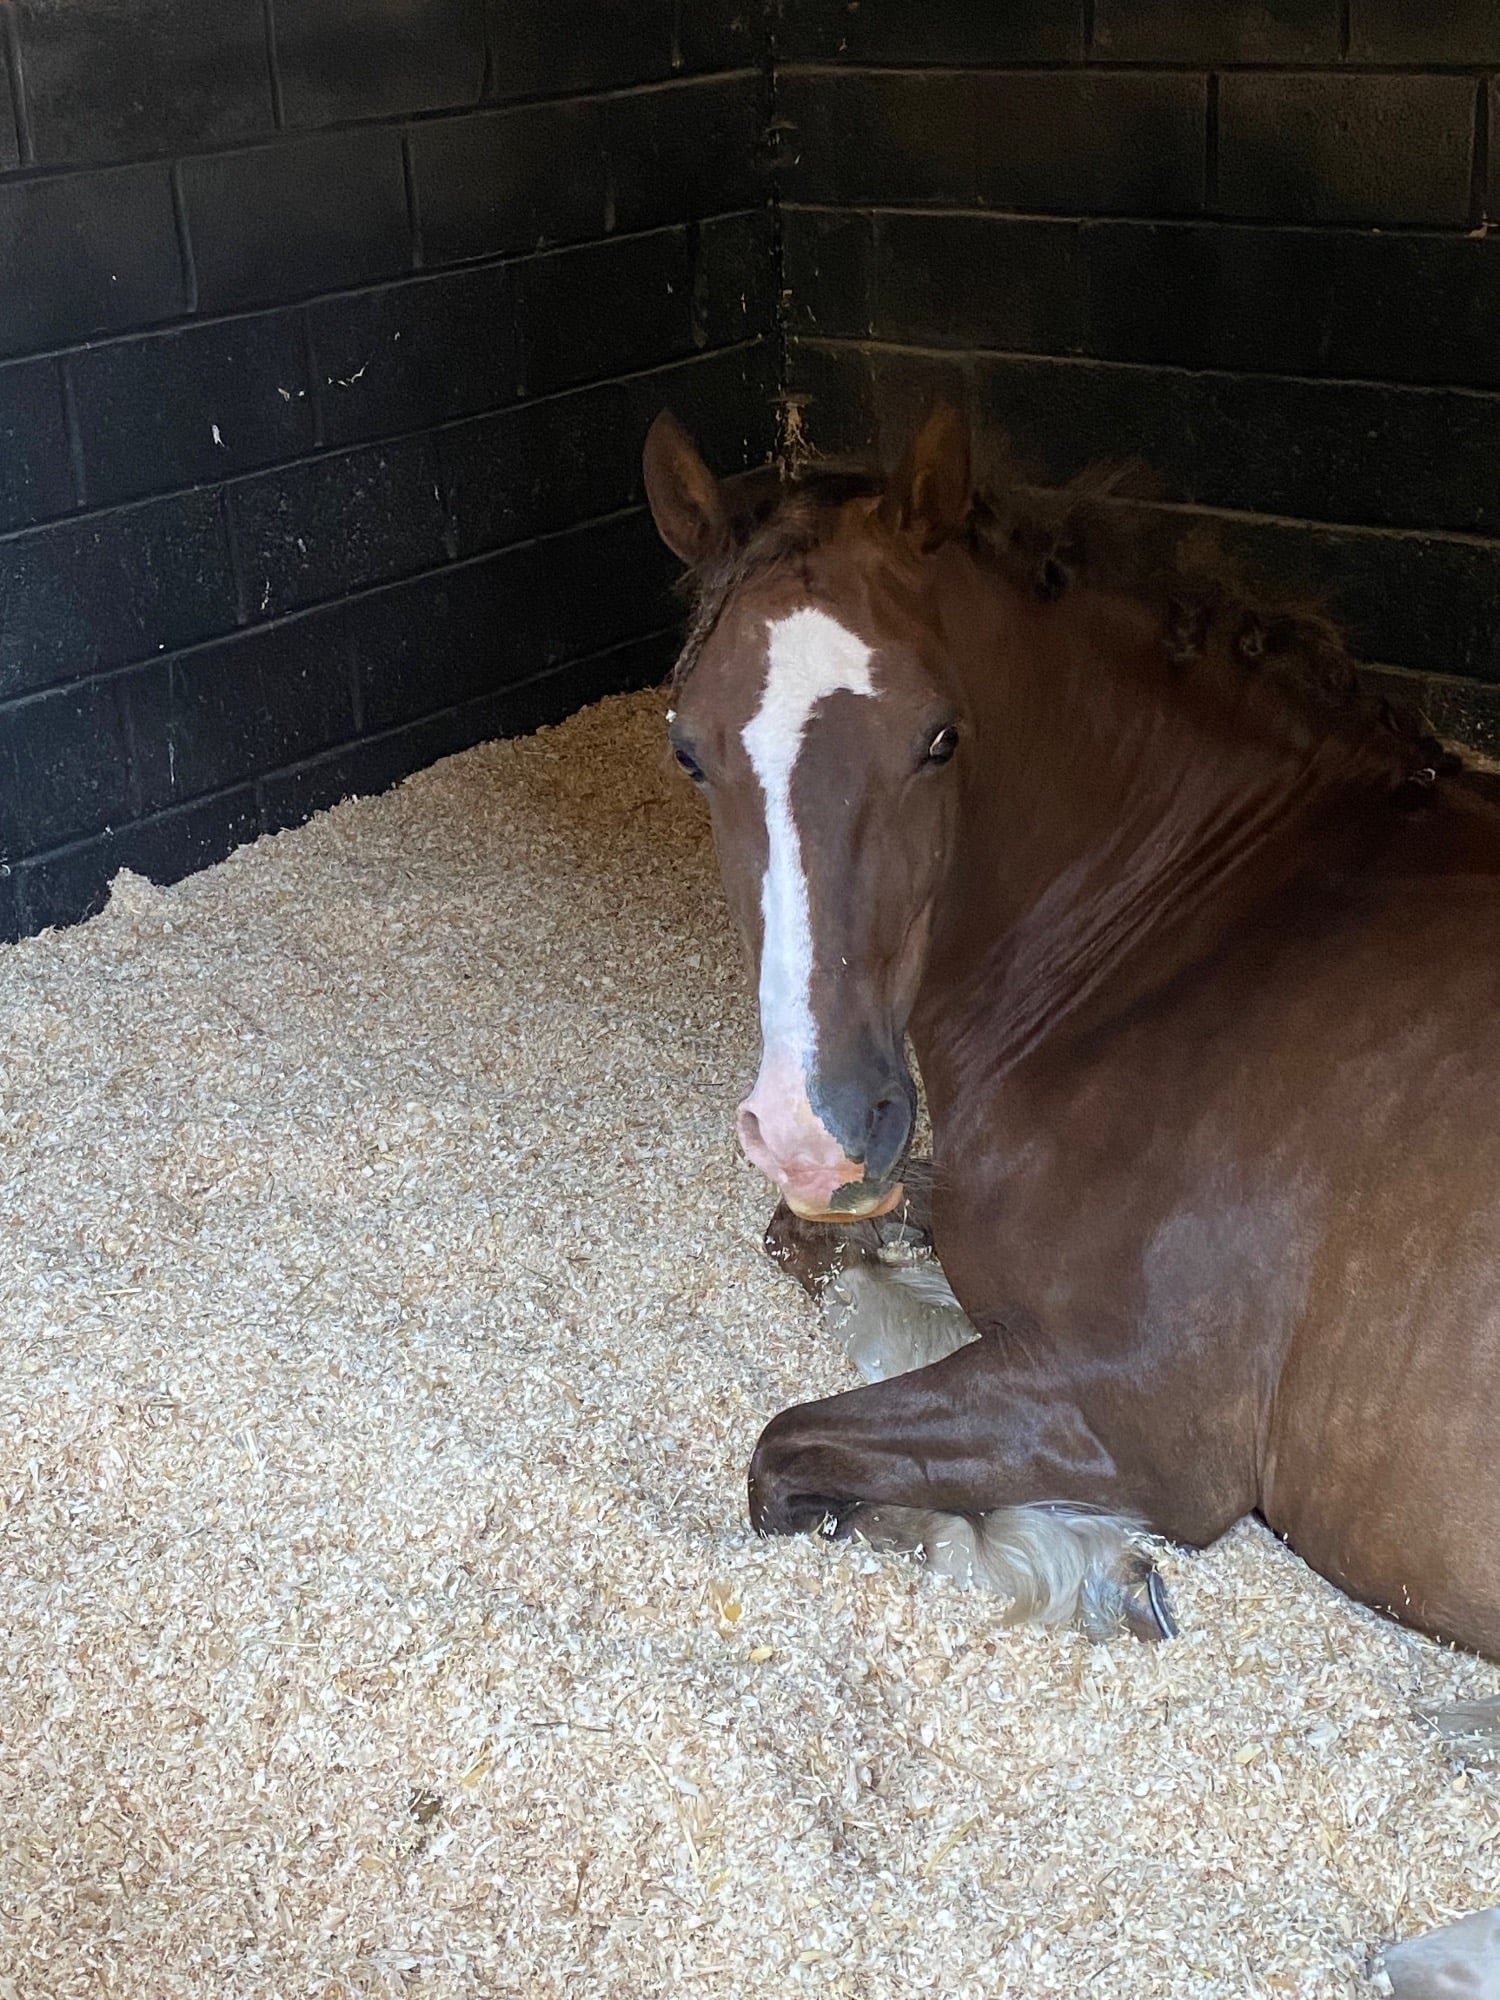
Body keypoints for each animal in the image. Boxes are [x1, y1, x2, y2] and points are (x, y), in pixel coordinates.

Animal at [642, 401, 1500, 1664]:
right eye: (688, 749)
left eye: (941, 738)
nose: (810, 1130)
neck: (1193, 930)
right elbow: (813, 1250)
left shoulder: (1146, 1420)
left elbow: (786, 1450)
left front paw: (1067, 1556)